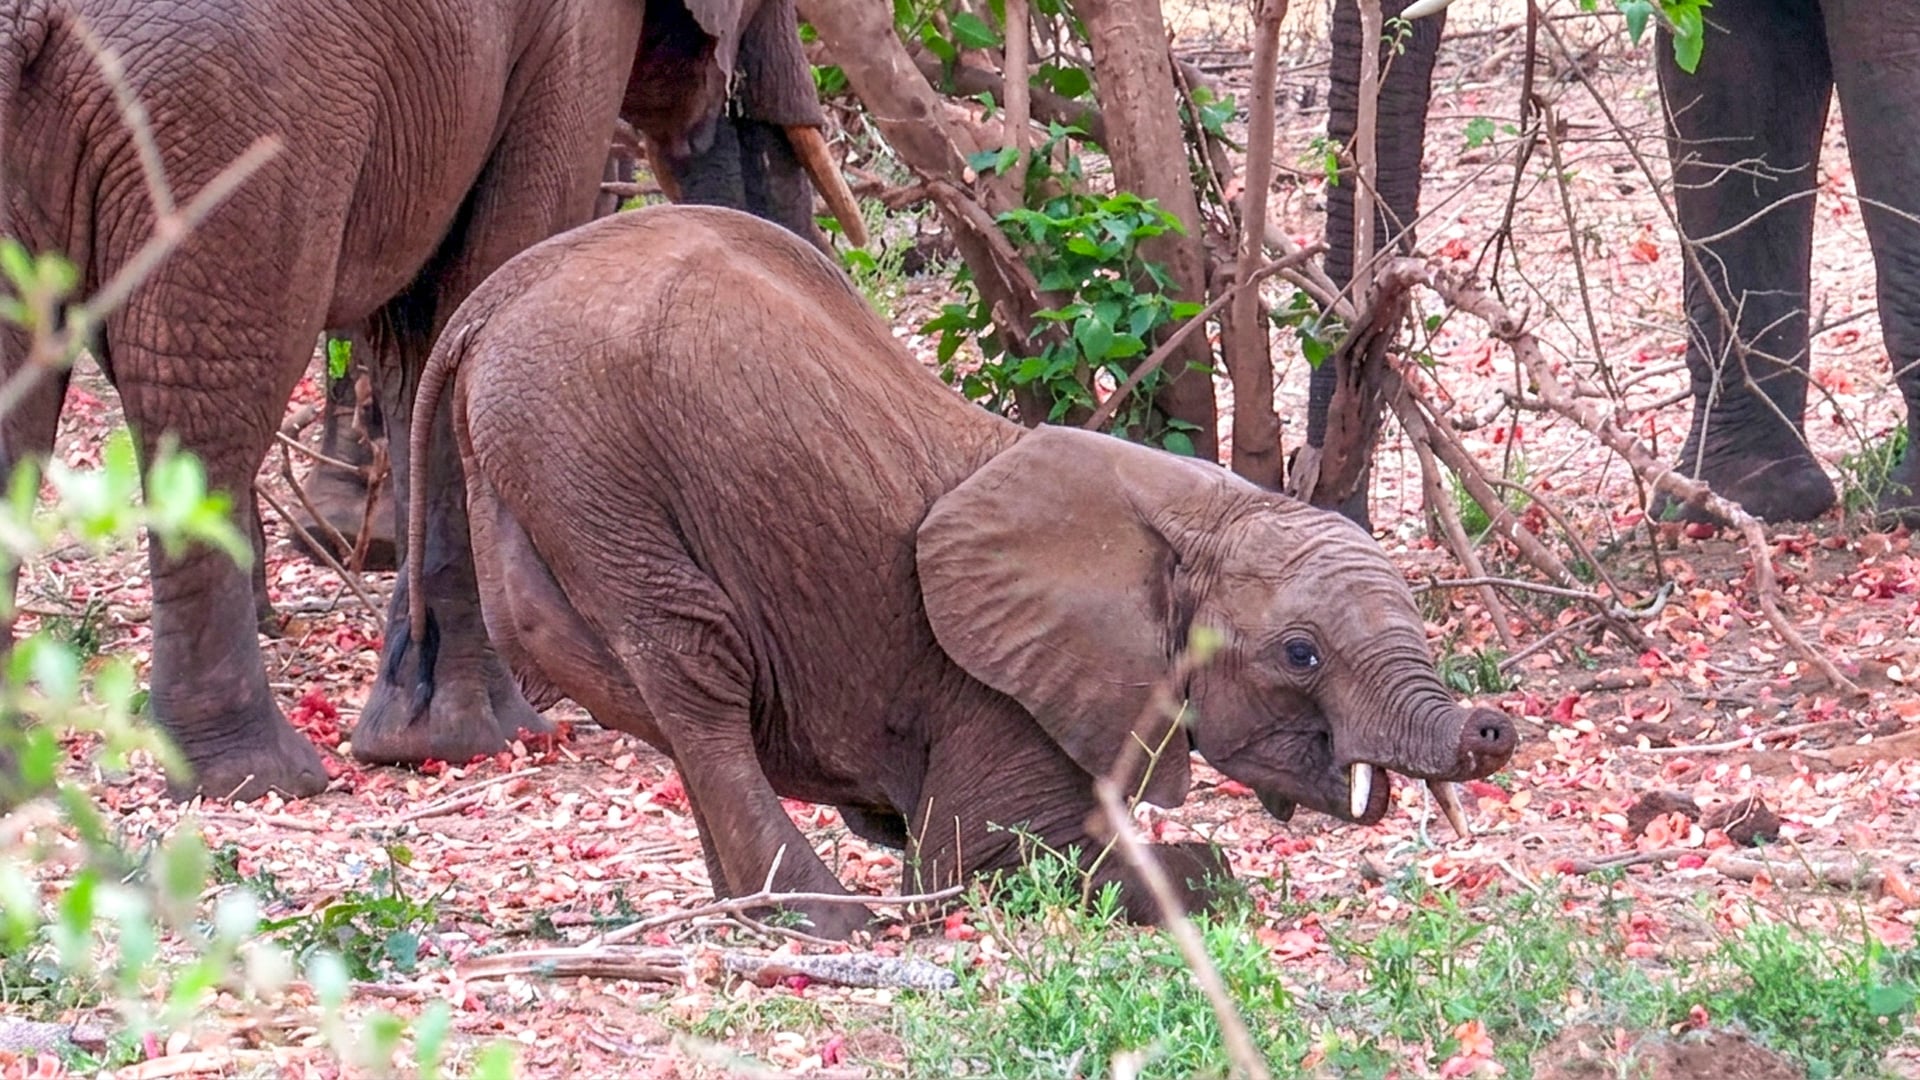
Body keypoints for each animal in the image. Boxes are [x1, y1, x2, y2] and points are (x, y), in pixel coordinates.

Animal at [0, 0, 859, 801]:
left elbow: (418, 334)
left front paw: (417, 733)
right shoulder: (573, 43)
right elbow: (488, 268)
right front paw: (468, 737)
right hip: (218, 113)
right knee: (208, 405)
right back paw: (256, 778)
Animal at [401, 204, 1520, 936]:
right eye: (1299, 654)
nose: (1494, 729)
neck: (1188, 506)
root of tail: (495, 294)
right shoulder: (998, 692)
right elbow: (989, 857)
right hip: (588, 447)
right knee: (694, 666)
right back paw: (824, 922)